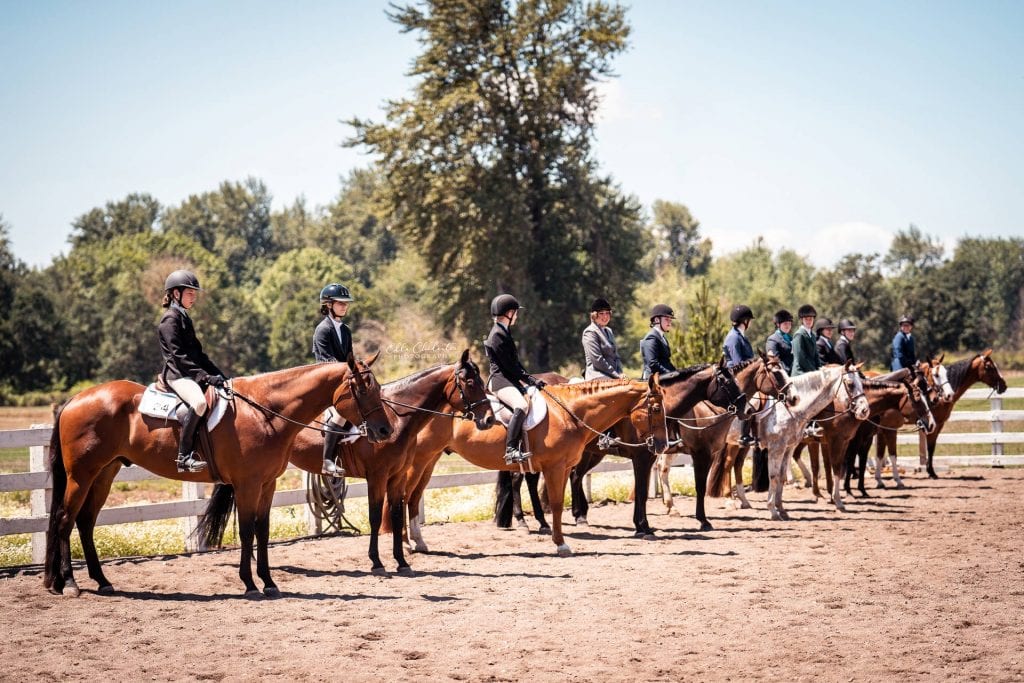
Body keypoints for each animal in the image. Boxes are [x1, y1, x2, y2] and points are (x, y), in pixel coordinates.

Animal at [43, 358, 391, 598]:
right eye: (362, 389)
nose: (385, 430)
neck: (265, 411)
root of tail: (75, 400)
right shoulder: (248, 484)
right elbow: (248, 532)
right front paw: (250, 584)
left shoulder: (267, 484)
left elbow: (262, 532)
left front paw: (268, 582)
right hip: (81, 475)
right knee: (64, 519)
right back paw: (70, 583)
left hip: (105, 473)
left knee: (85, 521)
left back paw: (101, 581)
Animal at [395, 376, 667, 557]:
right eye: (655, 408)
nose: (663, 444)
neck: (569, 412)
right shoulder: (555, 467)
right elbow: (556, 504)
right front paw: (561, 544)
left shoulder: (564, 468)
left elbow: (558, 503)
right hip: (419, 460)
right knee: (406, 495)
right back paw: (408, 544)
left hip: (430, 461)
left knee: (413, 497)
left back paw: (419, 543)